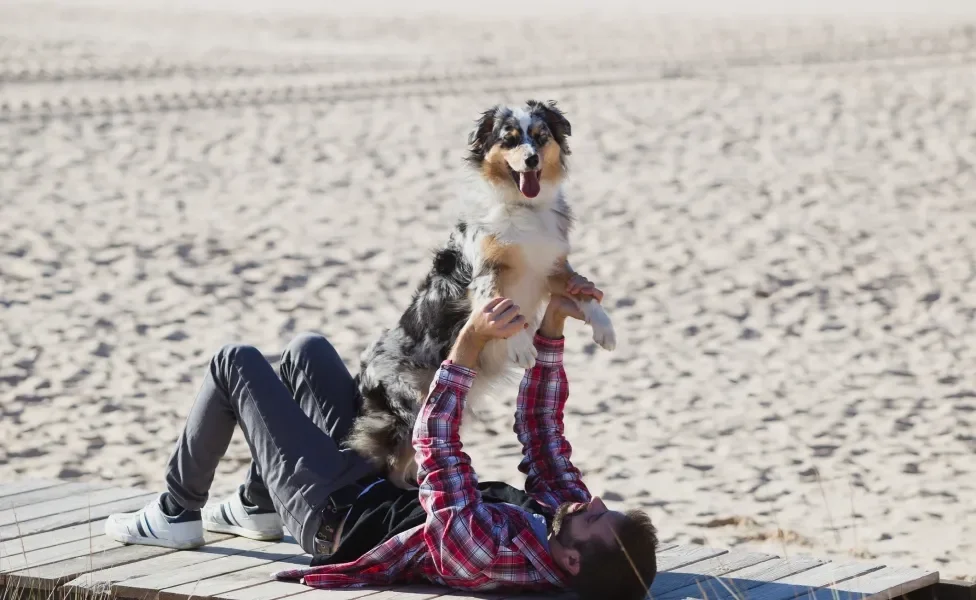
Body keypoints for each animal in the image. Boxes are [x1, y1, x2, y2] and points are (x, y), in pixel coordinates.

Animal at [346, 101, 612, 490]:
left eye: (541, 136)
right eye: (510, 139)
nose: (531, 159)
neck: (523, 207)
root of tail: (363, 368)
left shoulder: (551, 269)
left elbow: (585, 294)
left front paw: (605, 328)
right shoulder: (486, 274)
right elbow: (506, 307)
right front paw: (520, 345)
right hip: (411, 407)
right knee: (397, 463)